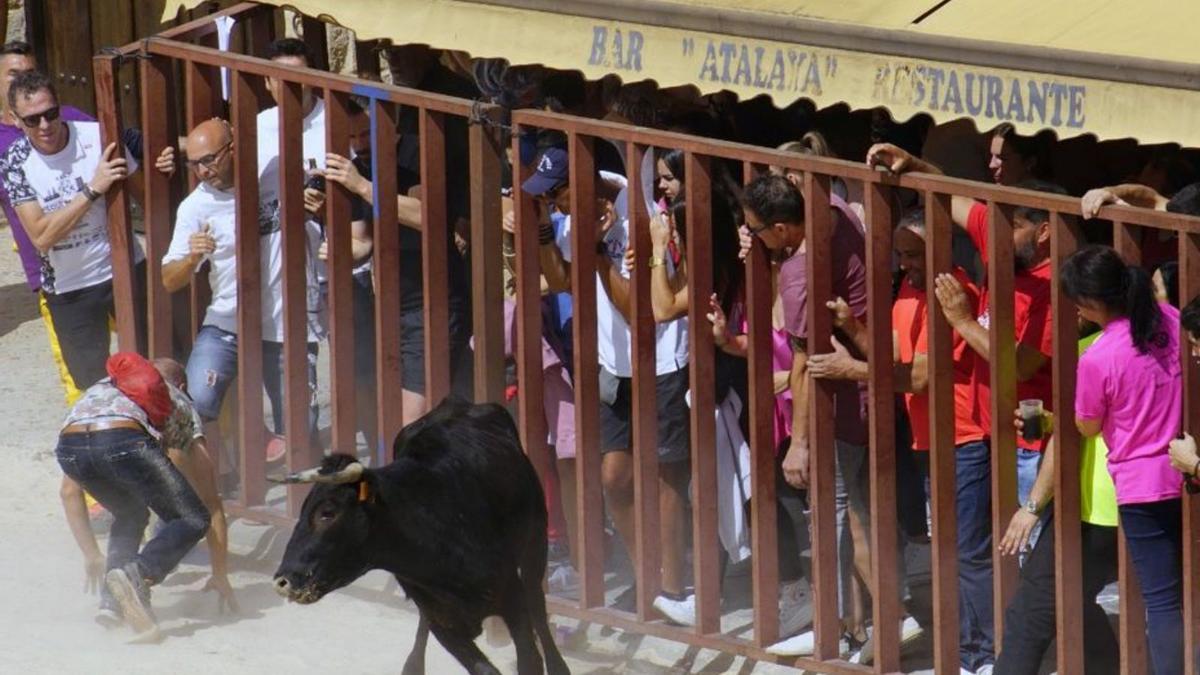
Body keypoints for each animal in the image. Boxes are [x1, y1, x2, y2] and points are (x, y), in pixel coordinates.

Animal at [273, 396, 571, 667]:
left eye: (327, 513)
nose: (282, 581)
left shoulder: (513, 599)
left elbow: (530, 658)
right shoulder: (443, 624)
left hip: (536, 546)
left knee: (538, 603)